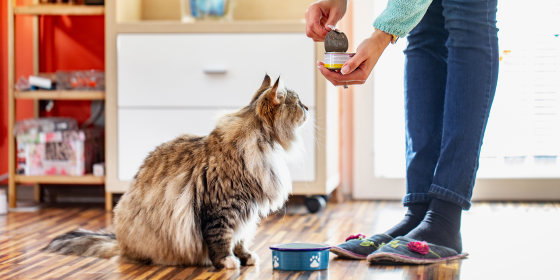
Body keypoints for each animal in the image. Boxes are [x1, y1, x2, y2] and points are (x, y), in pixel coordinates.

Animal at [42, 74, 310, 270]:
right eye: (298, 103)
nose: (308, 107)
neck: (262, 145)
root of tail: (119, 241)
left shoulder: (248, 211)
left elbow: (242, 238)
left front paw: (245, 257)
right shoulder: (222, 208)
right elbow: (222, 239)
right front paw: (227, 262)